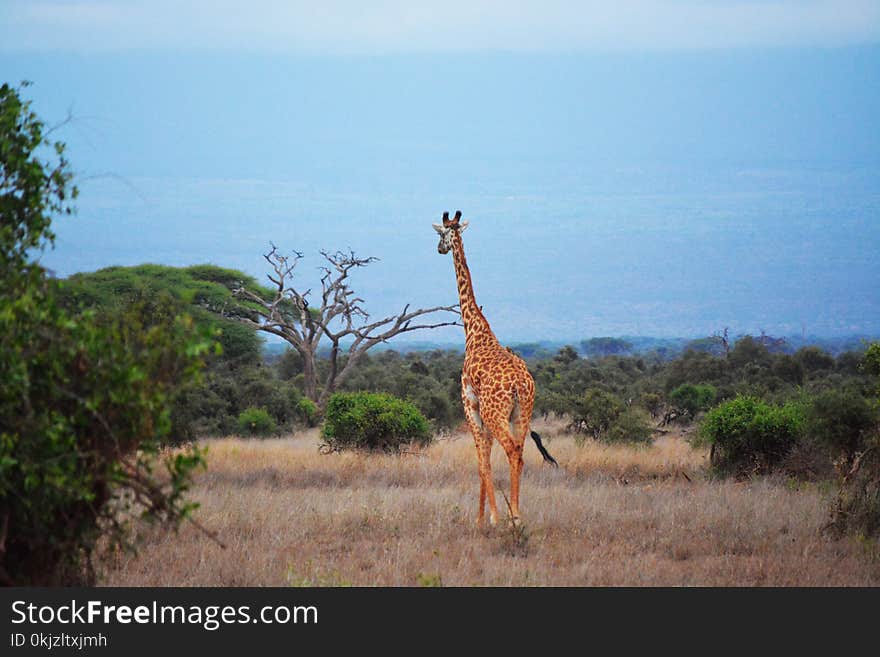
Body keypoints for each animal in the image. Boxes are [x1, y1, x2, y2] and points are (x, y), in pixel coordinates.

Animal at [434, 210, 556, 528]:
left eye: (441, 233)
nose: (439, 249)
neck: (475, 331)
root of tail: (520, 385)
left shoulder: (471, 405)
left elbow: (482, 461)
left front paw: (488, 518)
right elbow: (485, 459)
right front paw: (483, 515)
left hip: (496, 412)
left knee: (511, 449)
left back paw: (512, 516)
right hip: (522, 413)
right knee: (521, 452)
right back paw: (518, 514)